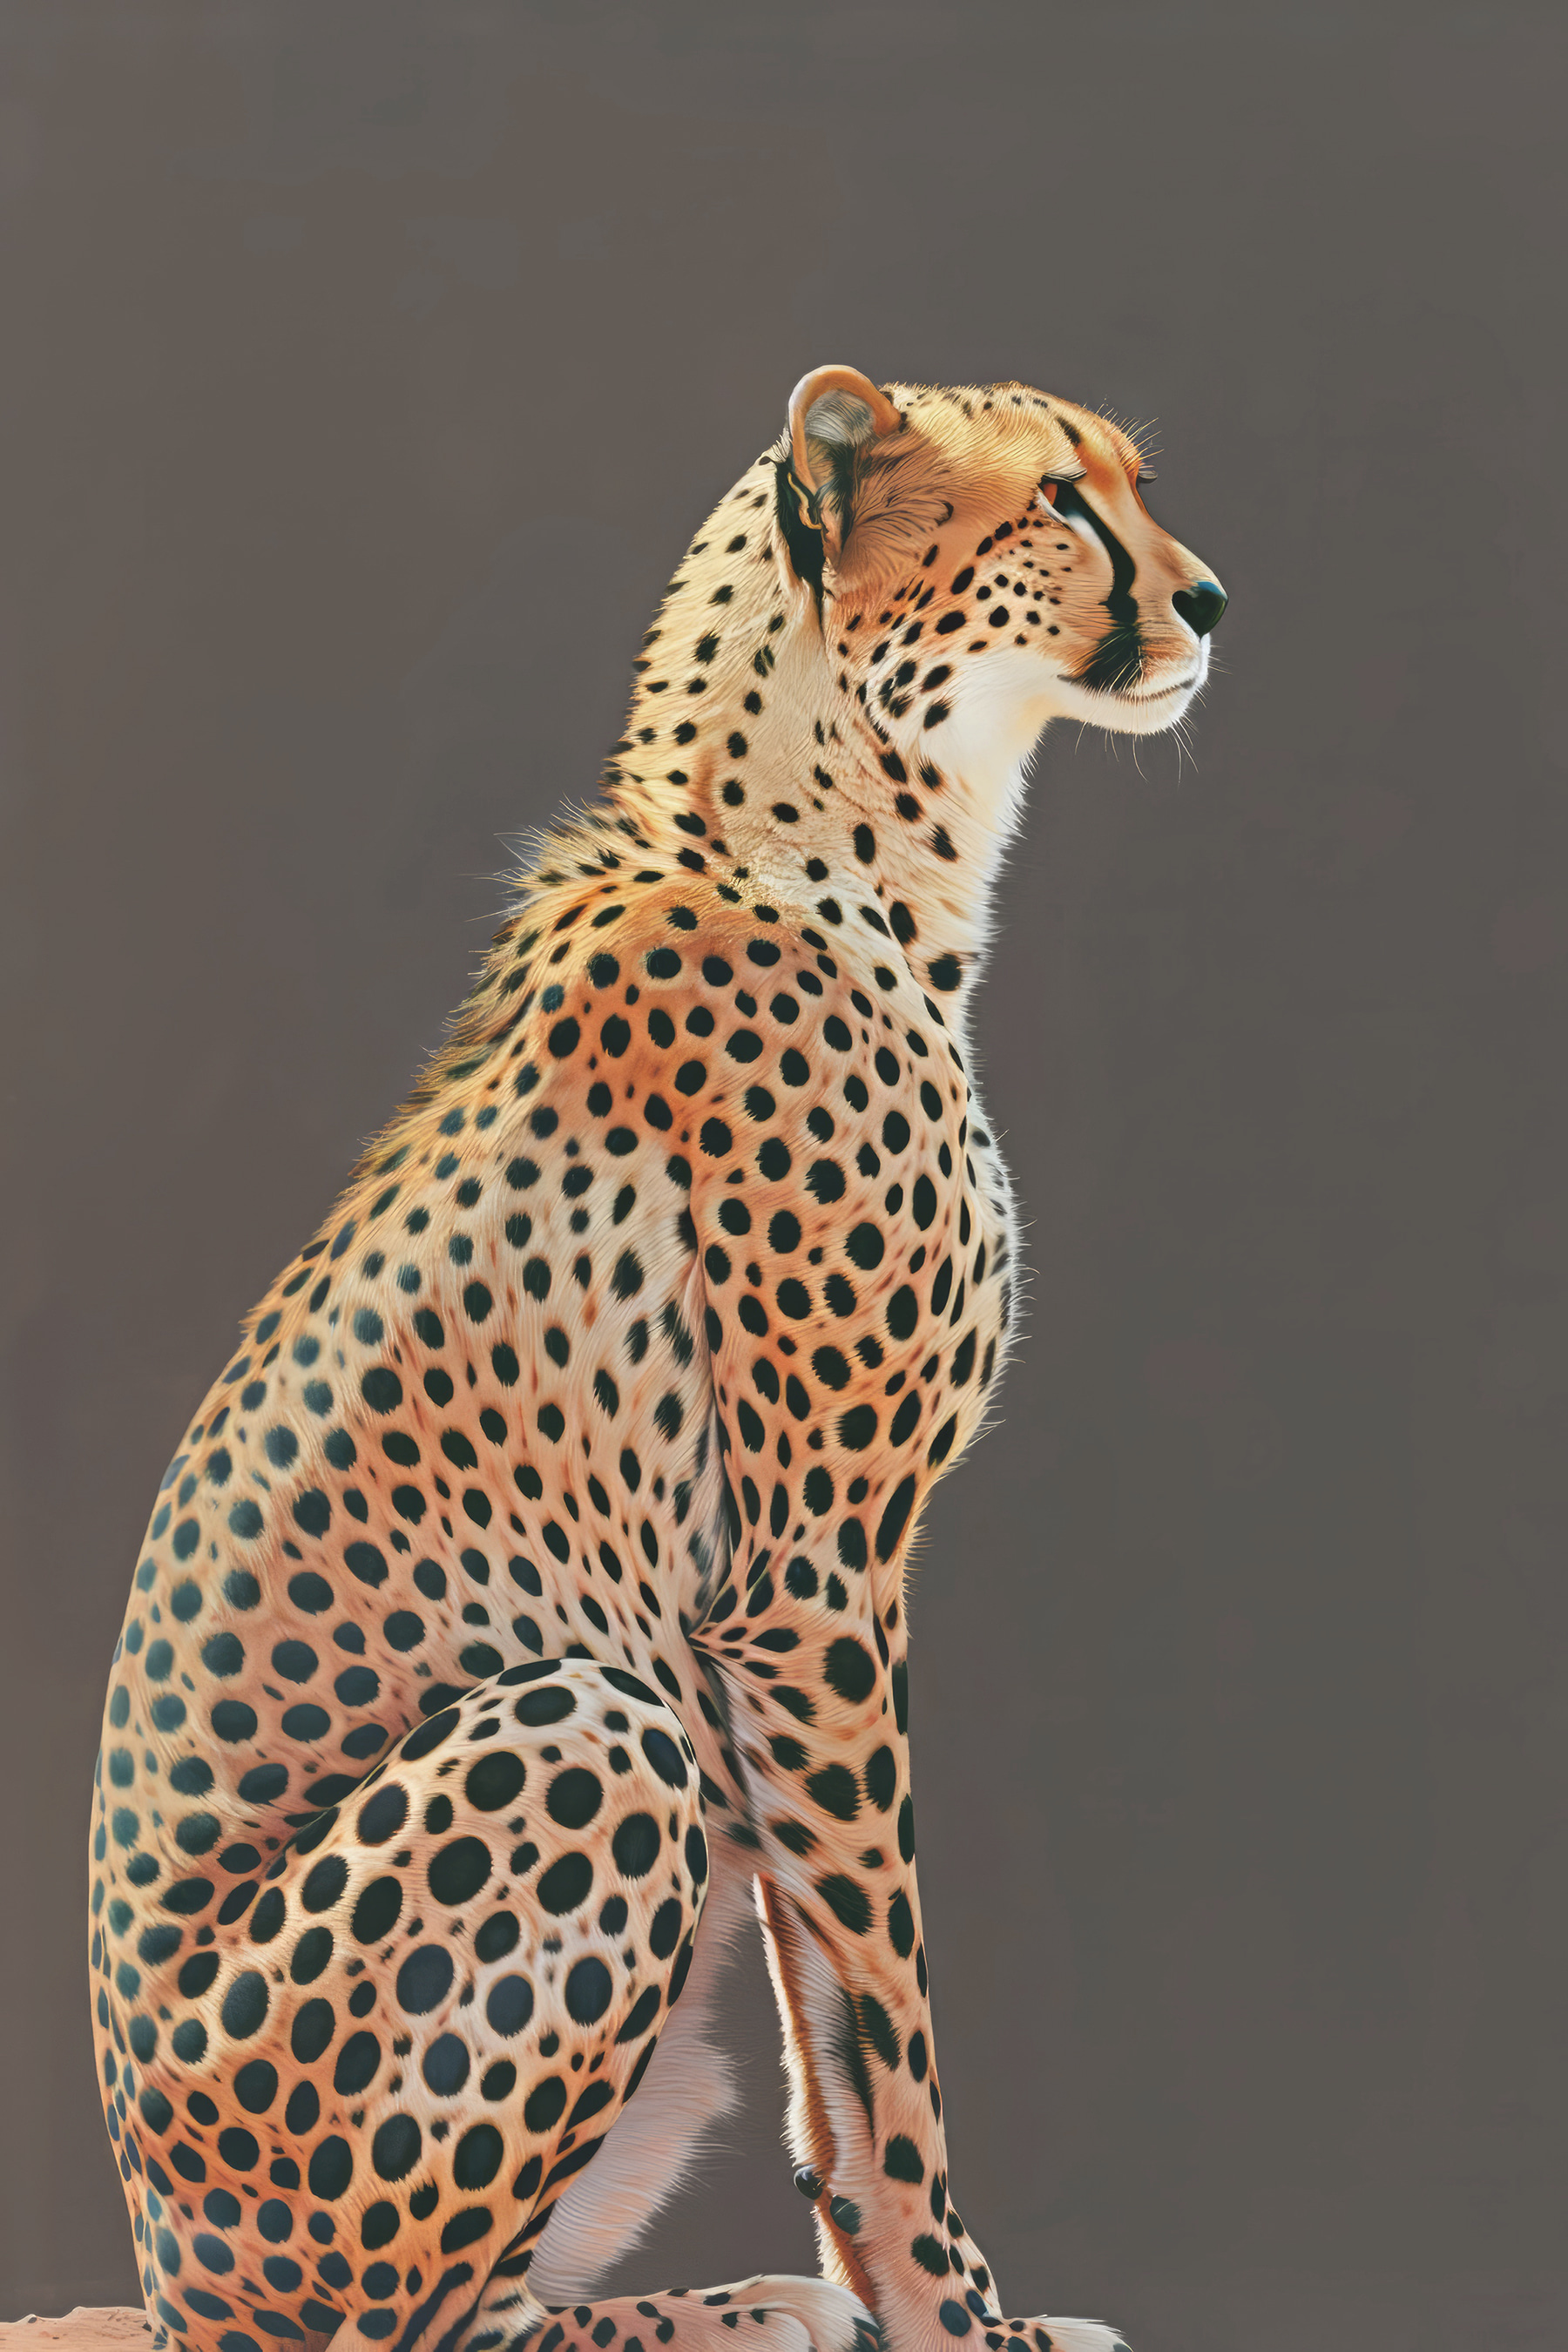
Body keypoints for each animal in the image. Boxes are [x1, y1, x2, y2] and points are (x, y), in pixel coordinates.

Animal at [88, 367, 1226, 2352]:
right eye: (1063, 504)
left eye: (1135, 487)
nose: (1213, 601)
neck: (840, 838)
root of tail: (165, 2277)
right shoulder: (806, 1581)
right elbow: (887, 2019)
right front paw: (950, 2312)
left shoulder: (777, 1621)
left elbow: (826, 2017)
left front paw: (935, 2297)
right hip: (592, 1731)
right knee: (418, 2329)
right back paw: (735, 2313)